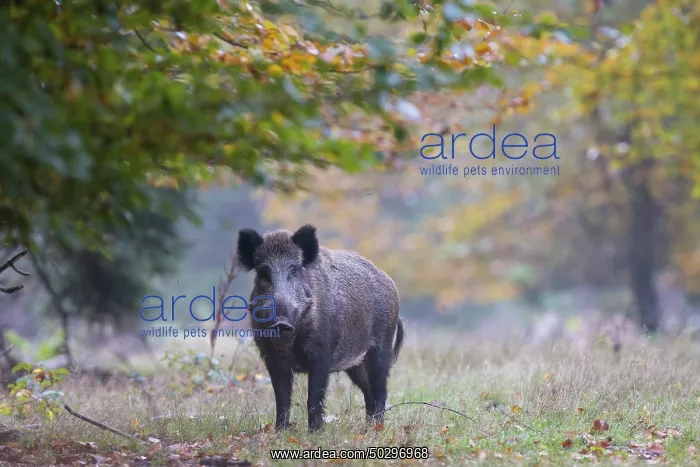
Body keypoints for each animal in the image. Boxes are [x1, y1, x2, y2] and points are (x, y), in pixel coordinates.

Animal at [236, 224, 404, 432]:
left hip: (382, 346)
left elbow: (313, 398)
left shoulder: (322, 354)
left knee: (380, 389)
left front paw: (314, 433)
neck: (288, 343)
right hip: (356, 363)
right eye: (263, 273)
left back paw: (376, 429)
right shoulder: (271, 358)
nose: (281, 322)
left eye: (294, 270)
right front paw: (280, 432)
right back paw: (366, 428)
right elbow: (281, 400)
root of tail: (391, 285)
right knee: (368, 391)